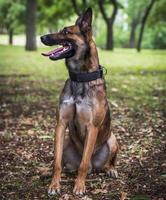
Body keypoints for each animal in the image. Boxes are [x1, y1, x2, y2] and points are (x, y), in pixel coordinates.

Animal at [40, 7, 118, 195]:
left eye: (66, 32)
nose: (42, 37)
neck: (80, 78)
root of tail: (94, 168)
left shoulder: (92, 127)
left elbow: (83, 163)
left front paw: (79, 186)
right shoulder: (60, 124)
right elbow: (56, 162)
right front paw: (54, 185)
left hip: (113, 140)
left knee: (101, 163)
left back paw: (110, 169)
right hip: (67, 142)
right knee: (63, 164)